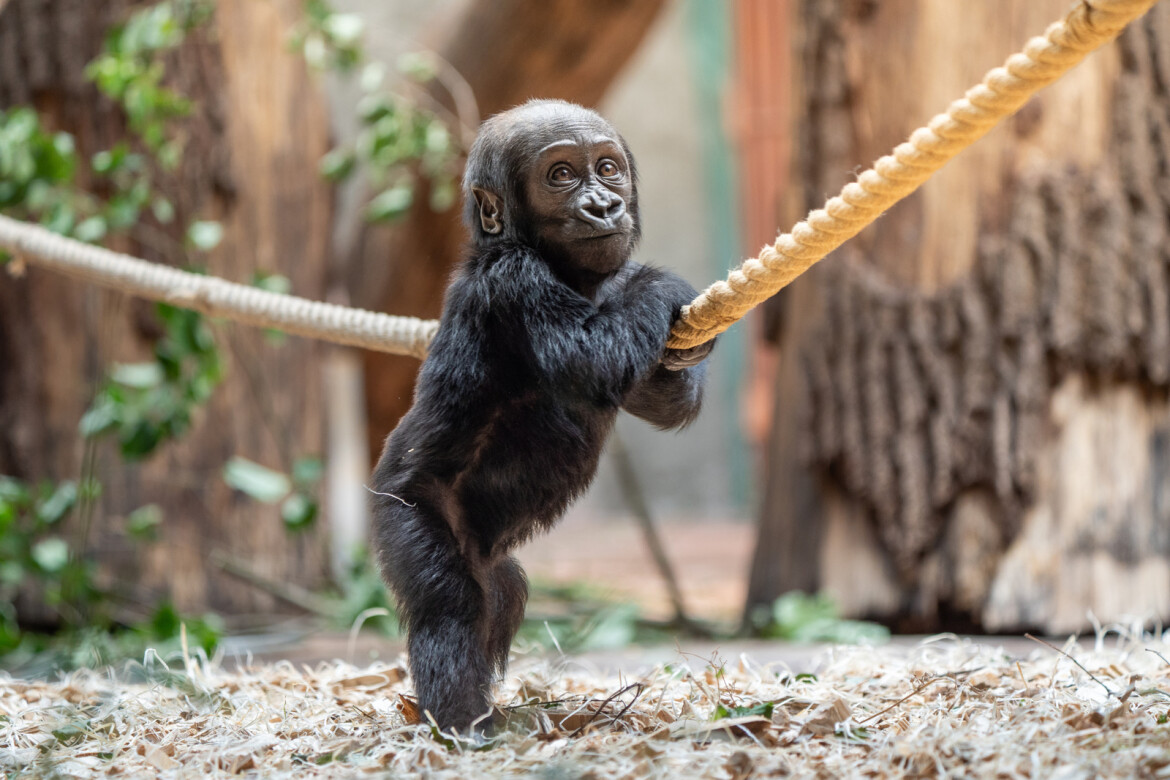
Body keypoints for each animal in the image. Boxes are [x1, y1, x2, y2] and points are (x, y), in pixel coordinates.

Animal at [369, 97, 711, 734]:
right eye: (561, 175)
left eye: (607, 168)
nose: (603, 203)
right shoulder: (513, 281)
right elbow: (593, 356)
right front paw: (661, 283)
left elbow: (648, 392)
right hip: (402, 511)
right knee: (449, 602)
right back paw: (460, 725)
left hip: (488, 553)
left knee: (501, 595)